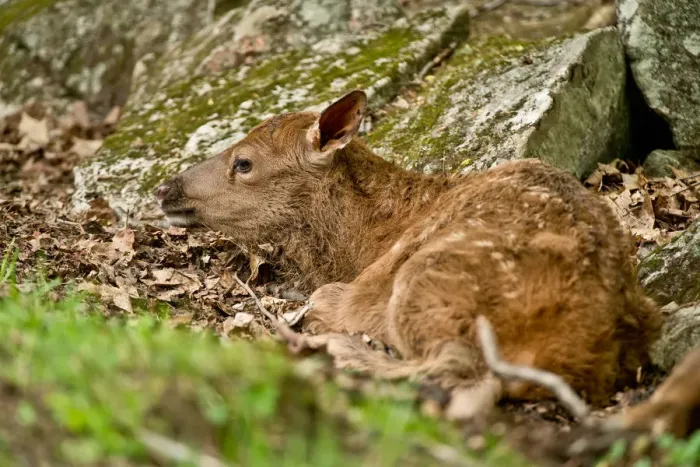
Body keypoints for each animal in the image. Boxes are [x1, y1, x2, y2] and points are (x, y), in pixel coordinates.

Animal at [155, 89, 698, 431]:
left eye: (243, 163)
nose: (164, 188)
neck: (359, 246)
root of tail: (587, 348)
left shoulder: (363, 288)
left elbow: (323, 298)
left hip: (430, 278)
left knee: (463, 372)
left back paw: (342, 350)